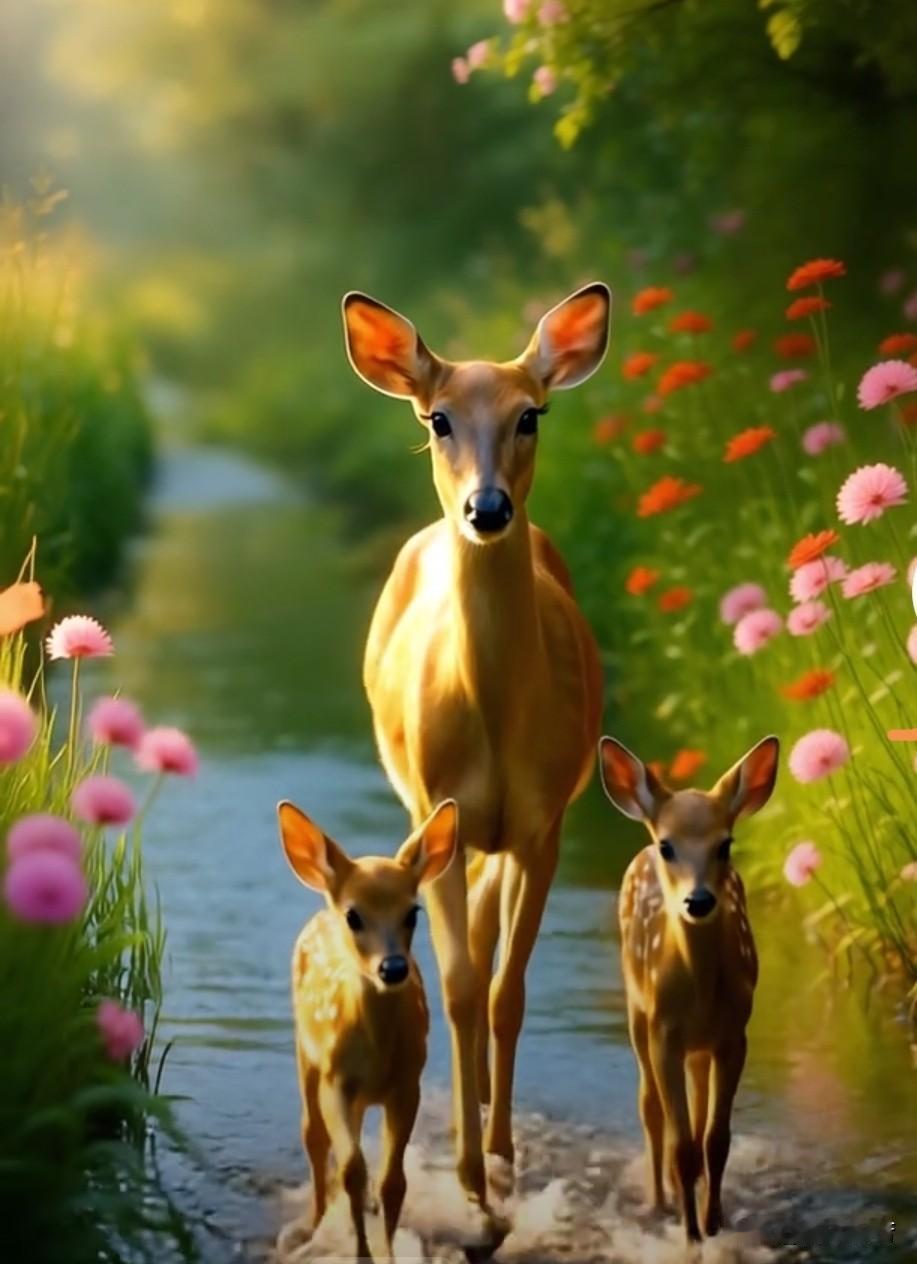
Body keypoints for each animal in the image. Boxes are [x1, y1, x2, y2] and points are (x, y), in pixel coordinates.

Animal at [277, 796, 459, 1261]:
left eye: (413, 912)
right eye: (354, 916)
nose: (392, 968)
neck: (377, 1055)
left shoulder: (407, 1083)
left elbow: (393, 1181)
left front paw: (388, 1252)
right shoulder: (335, 1080)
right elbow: (351, 1170)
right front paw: (360, 1252)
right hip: (307, 1059)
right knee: (313, 1136)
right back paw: (313, 1224)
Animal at [341, 284, 609, 1245]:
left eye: (531, 413)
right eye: (438, 417)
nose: (486, 510)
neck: (493, 721)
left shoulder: (544, 823)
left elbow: (506, 990)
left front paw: (498, 1162)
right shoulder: (439, 807)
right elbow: (457, 987)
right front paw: (465, 1178)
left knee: (494, 945)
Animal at [598, 734, 779, 1244]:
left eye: (725, 844)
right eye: (668, 846)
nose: (698, 901)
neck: (698, 994)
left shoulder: (734, 1033)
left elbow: (716, 1139)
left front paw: (713, 1222)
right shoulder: (665, 1032)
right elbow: (681, 1142)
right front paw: (690, 1233)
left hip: (700, 1046)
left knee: (698, 1114)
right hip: (638, 1013)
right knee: (649, 1106)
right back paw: (660, 1201)